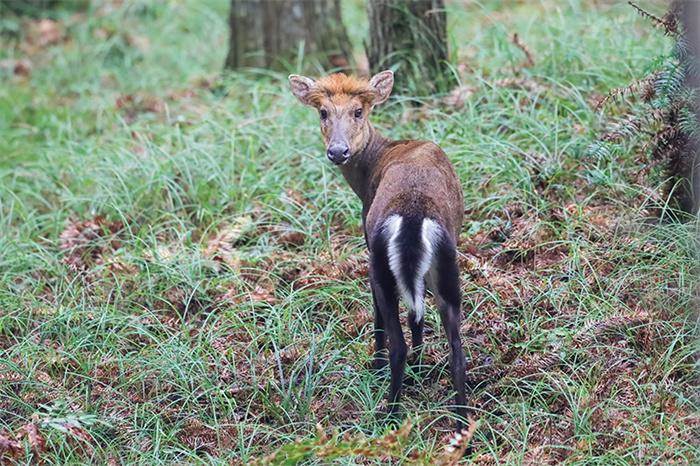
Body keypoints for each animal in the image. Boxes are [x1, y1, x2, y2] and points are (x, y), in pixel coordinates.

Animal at [288, 70, 468, 430]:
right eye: (323, 112)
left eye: (359, 111)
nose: (338, 151)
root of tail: (413, 216)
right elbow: (416, 315)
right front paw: (421, 367)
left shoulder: (368, 243)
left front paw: (378, 364)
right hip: (447, 265)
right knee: (456, 346)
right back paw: (461, 425)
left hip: (382, 265)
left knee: (397, 339)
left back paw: (390, 413)